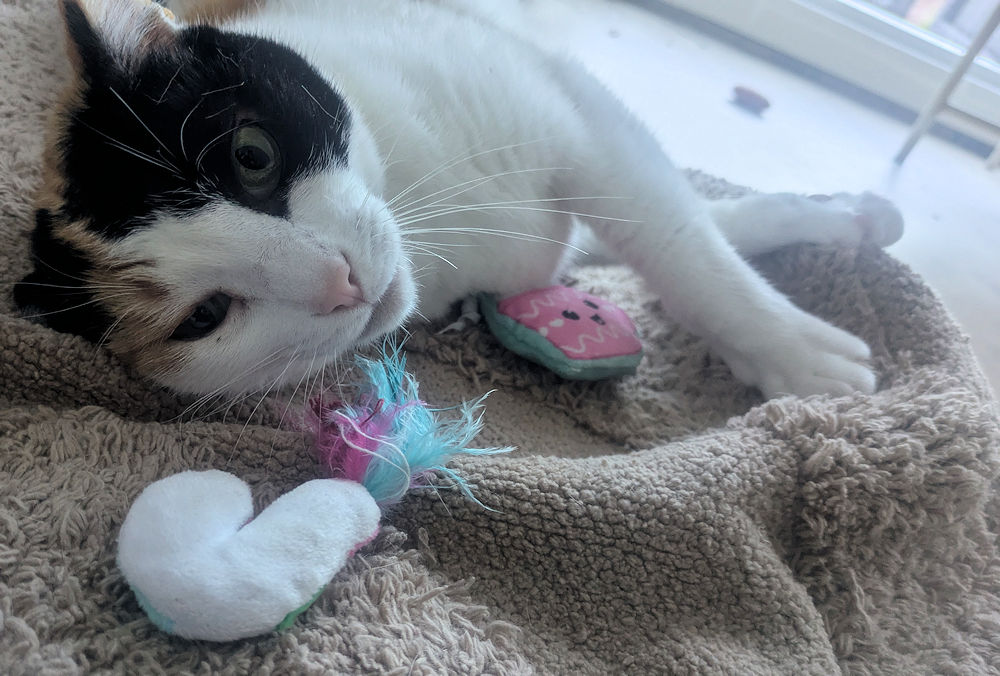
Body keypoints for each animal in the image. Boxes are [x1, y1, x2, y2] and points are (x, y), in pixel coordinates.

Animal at [14, 0, 903, 400]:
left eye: (252, 157)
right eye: (204, 317)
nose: (338, 280)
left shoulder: (570, 113)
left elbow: (680, 241)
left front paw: (789, 333)